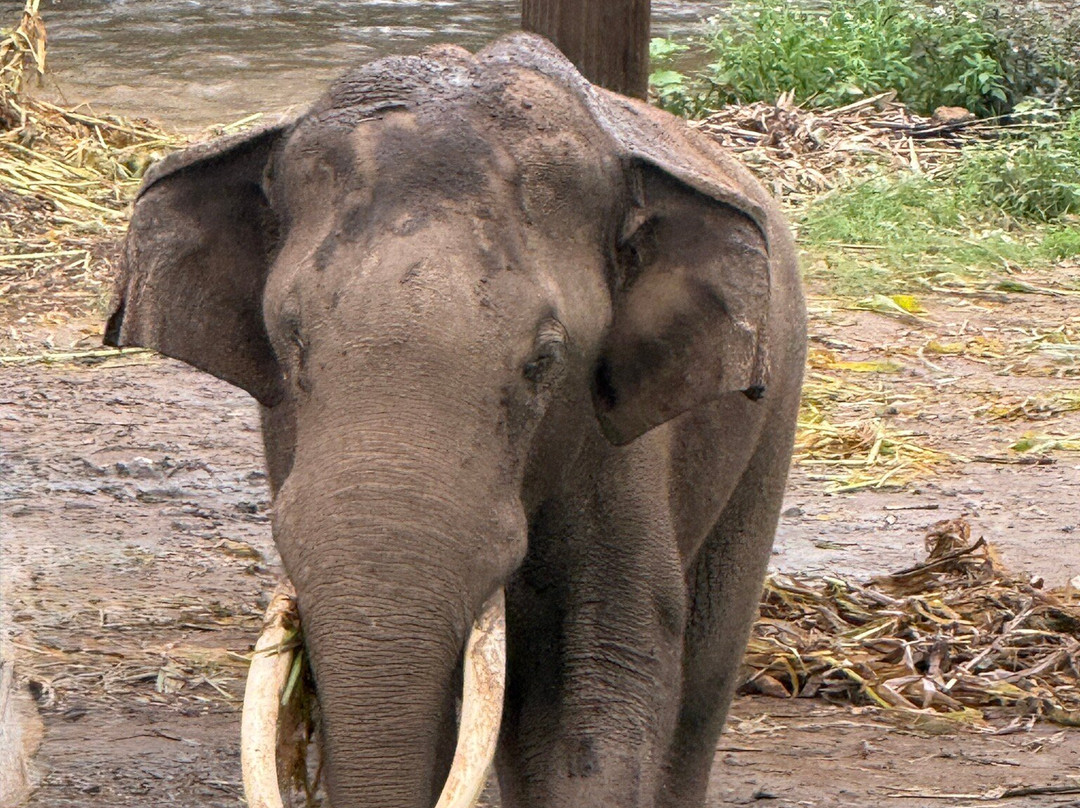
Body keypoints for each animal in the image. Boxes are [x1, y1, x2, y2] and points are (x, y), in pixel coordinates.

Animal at [103, 33, 806, 808]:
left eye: (544, 361)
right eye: (291, 343)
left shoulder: (620, 456)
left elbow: (598, 694)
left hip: (775, 410)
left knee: (704, 672)